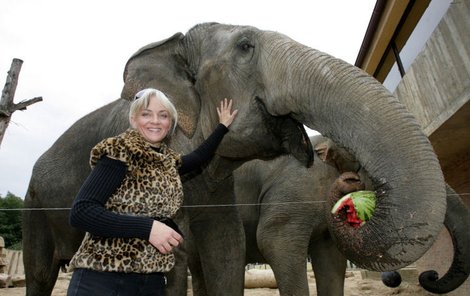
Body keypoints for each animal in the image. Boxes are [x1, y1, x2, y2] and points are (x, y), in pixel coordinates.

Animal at [23, 22, 448, 294]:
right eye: (246, 46)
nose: (351, 191)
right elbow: (208, 249)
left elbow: (227, 246)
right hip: (33, 204)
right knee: (40, 273)